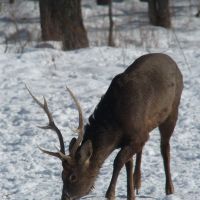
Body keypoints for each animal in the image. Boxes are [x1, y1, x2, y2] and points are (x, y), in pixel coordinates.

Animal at [26, 53, 183, 200]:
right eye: (61, 174)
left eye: (73, 176)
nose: (65, 197)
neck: (116, 127)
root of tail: (172, 61)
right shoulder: (134, 138)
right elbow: (128, 163)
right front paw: (130, 194)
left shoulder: (139, 135)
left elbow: (118, 161)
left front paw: (110, 194)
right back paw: (138, 183)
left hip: (173, 110)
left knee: (165, 147)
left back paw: (169, 189)